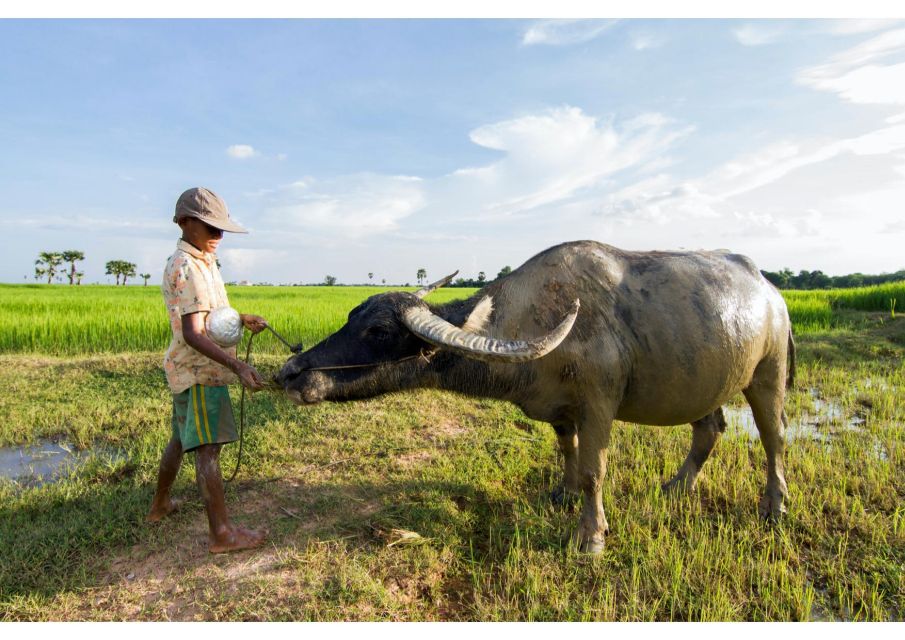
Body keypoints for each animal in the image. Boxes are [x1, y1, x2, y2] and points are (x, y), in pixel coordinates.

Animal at [276, 240, 792, 552]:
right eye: (351, 315)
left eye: (380, 331)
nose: (291, 372)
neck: (534, 320)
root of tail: (771, 292)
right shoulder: (560, 409)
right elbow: (567, 451)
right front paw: (563, 493)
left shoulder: (599, 405)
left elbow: (594, 469)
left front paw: (591, 536)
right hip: (707, 383)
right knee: (710, 428)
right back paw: (676, 486)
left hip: (768, 374)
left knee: (773, 438)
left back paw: (774, 506)